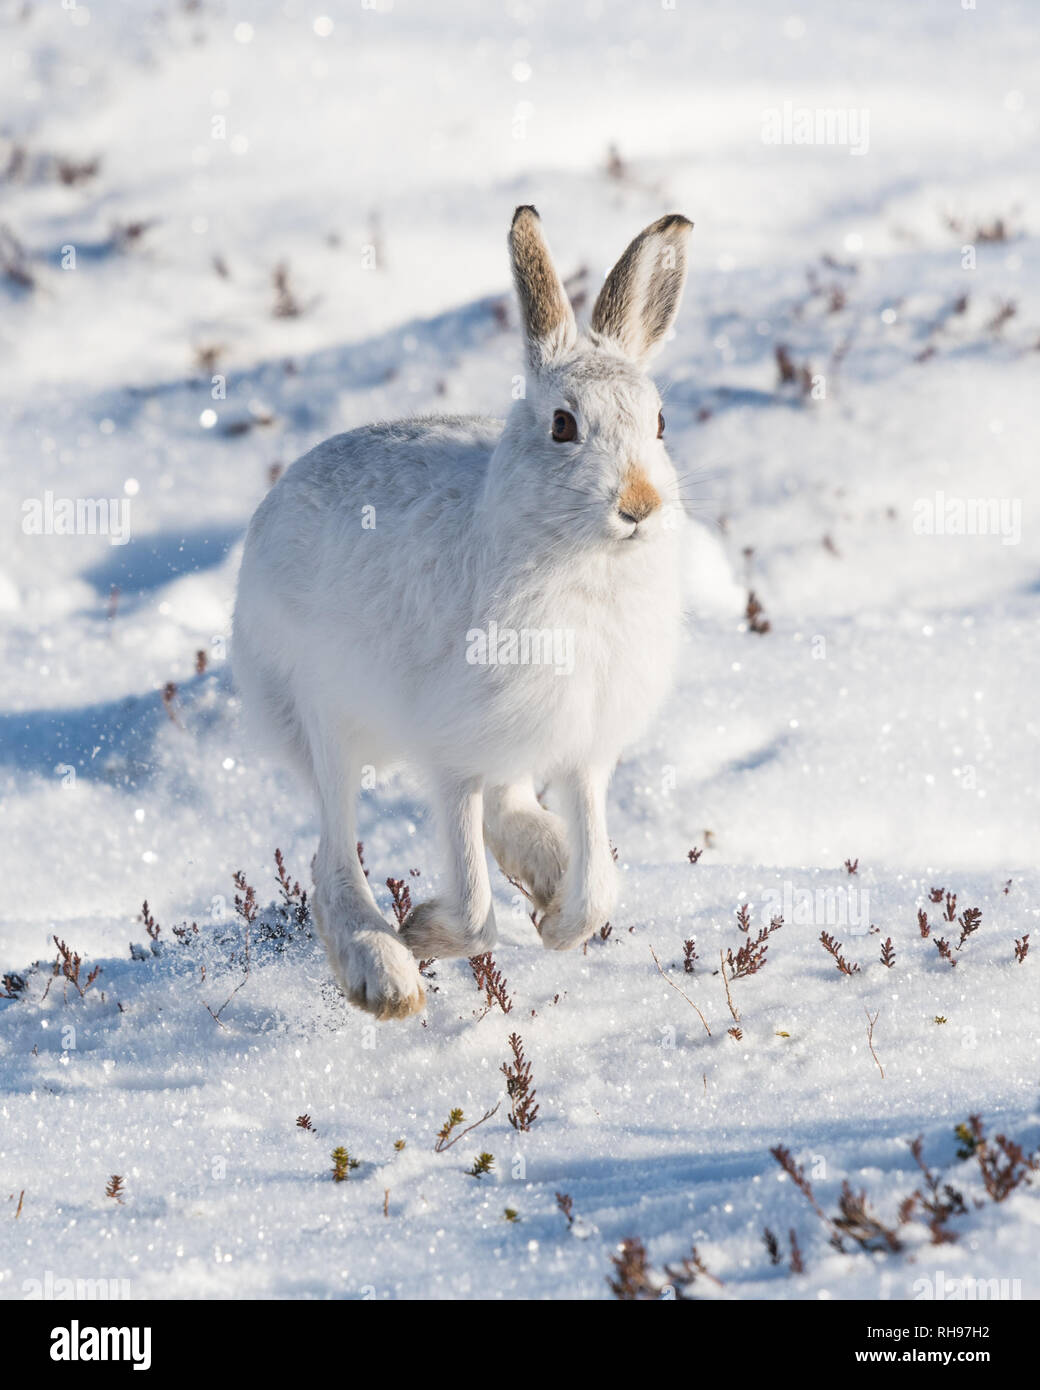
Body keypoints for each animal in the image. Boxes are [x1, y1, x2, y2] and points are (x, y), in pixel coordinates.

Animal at [232, 206, 693, 1020]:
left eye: (661, 422)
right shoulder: (451, 752)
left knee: (511, 807)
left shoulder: (584, 746)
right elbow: (479, 911)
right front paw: (422, 932)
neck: (586, 564)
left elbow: (600, 891)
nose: (639, 505)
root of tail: (270, 508)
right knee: (329, 853)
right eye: (563, 425)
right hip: (324, 715)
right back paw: (381, 971)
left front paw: (560, 923)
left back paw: (544, 868)